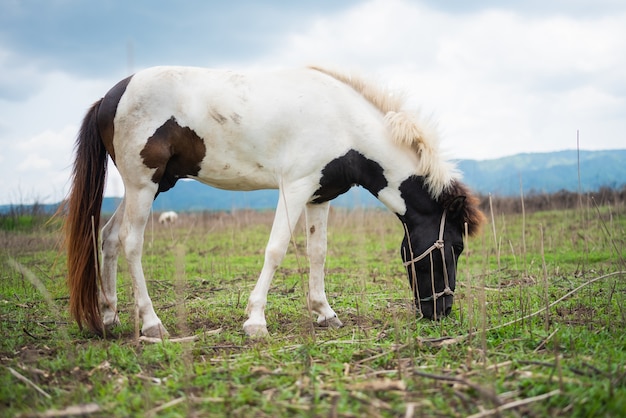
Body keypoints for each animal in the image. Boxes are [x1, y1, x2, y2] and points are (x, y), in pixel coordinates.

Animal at [63, 66, 482, 340]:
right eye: (456, 246)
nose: (442, 311)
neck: (343, 123)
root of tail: (111, 96)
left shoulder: (319, 195)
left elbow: (317, 252)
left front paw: (324, 312)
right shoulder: (294, 187)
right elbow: (277, 249)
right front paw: (255, 321)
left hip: (147, 187)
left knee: (109, 237)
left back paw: (111, 316)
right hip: (142, 185)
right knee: (131, 243)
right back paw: (151, 324)